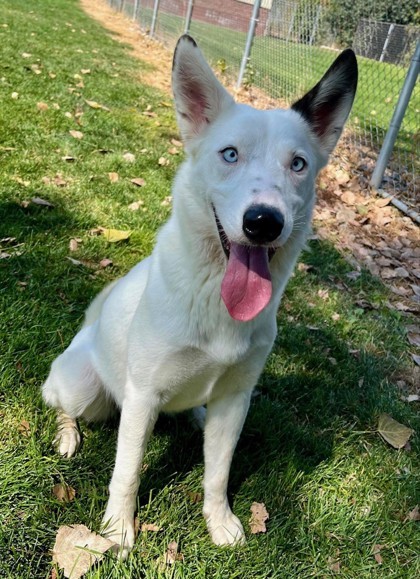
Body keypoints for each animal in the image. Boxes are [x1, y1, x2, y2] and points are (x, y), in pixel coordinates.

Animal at [43, 35, 358, 556]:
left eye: (298, 164)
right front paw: (117, 531)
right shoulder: (142, 396)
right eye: (229, 155)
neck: (216, 299)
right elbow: (127, 472)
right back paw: (68, 436)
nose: (263, 222)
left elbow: (218, 472)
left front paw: (220, 522)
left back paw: (194, 415)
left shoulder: (235, 398)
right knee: (63, 406)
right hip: (84, 388)